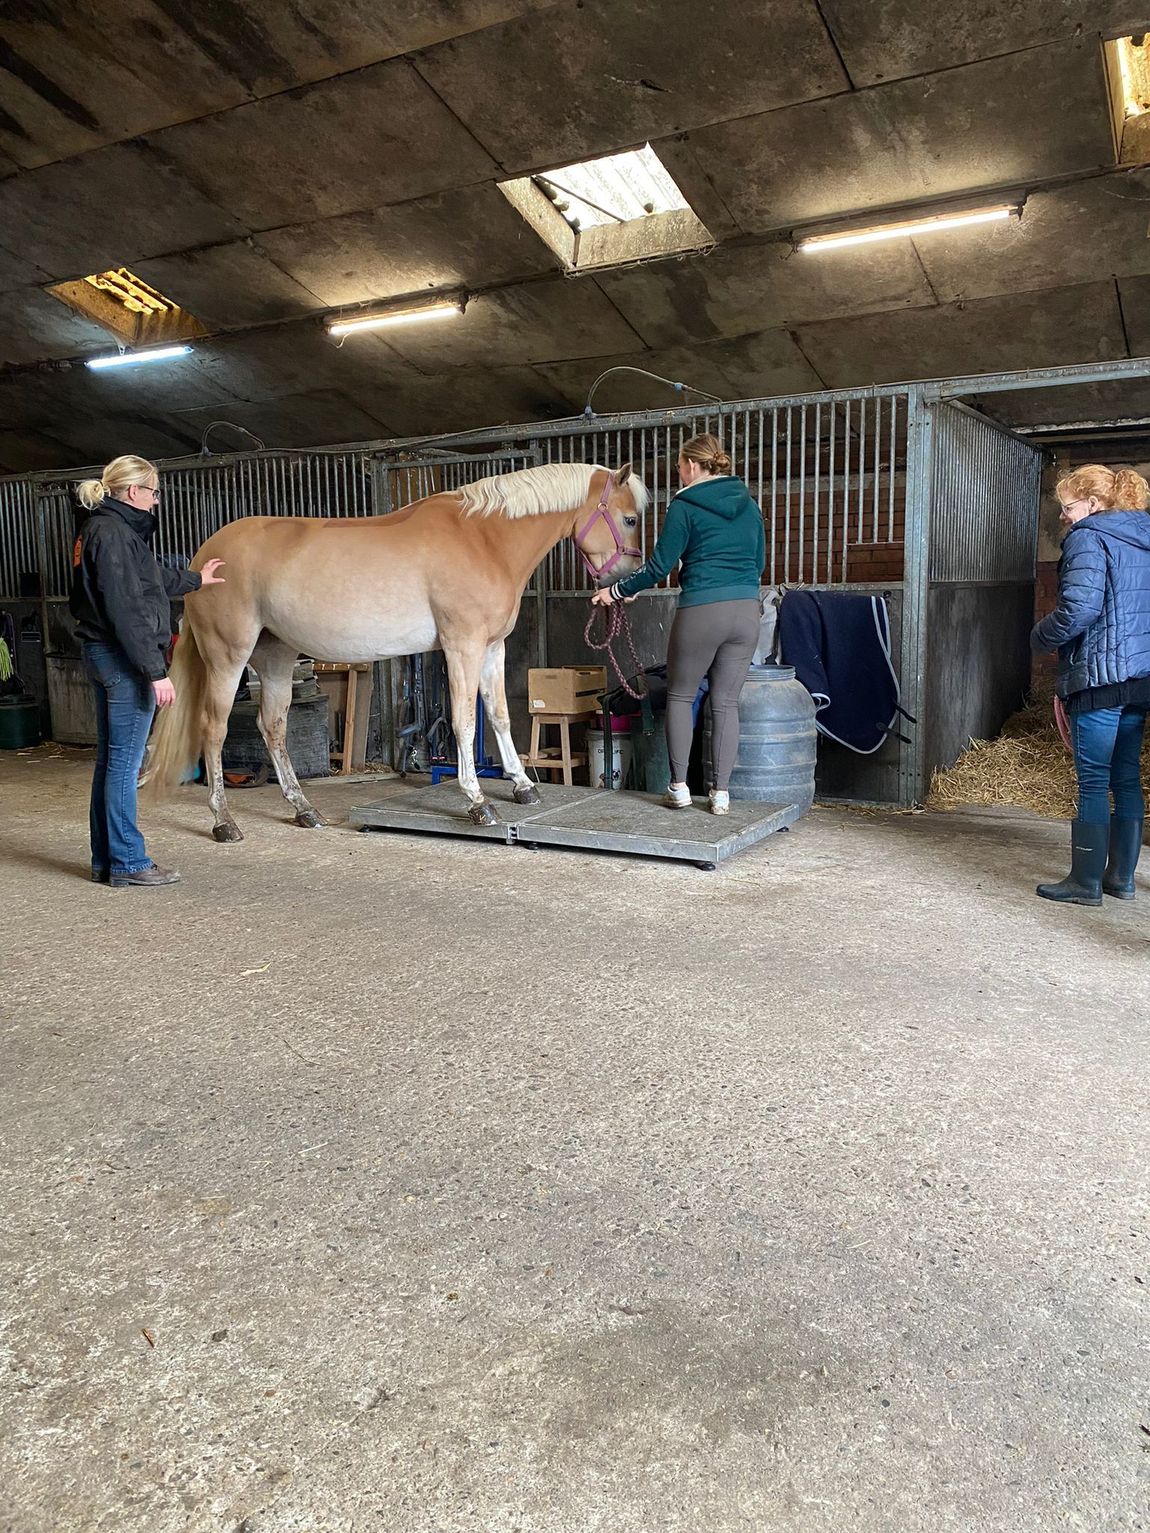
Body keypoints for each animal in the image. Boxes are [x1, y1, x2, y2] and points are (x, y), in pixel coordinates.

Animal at [144, 461, 647, 841]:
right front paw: (477, 802)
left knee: (273, 727)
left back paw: (304, 809)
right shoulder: (461, 646)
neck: (485, 539)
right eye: (629, 519)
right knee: (213, 730)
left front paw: (523, 786)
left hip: (275, 657)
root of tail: (203, 558)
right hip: (228, 657)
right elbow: (466, 721)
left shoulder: (492, 648)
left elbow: (500, 715)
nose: (625, 585)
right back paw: (224, 822)